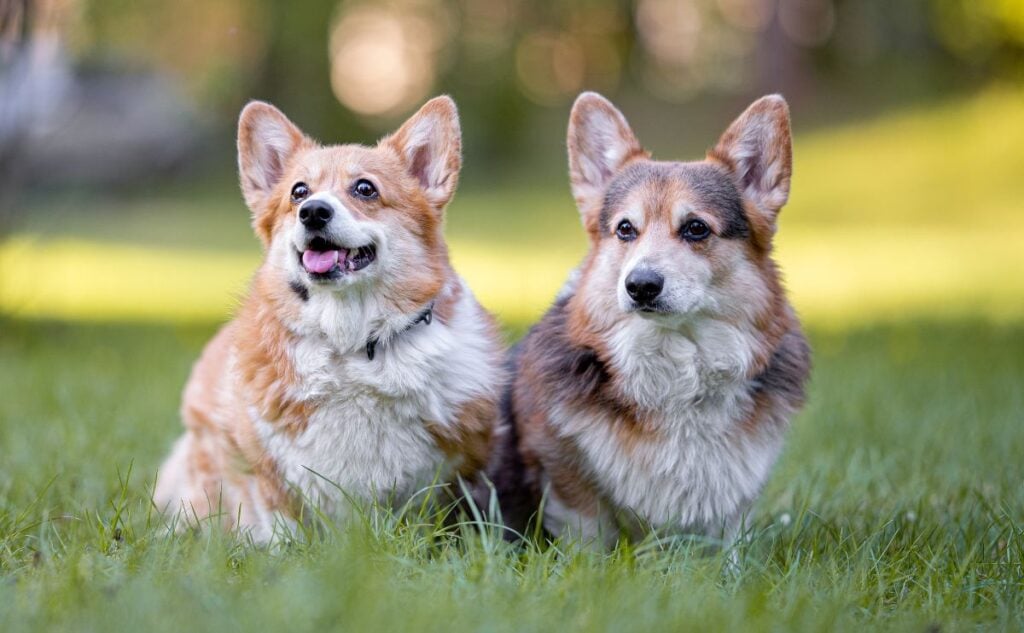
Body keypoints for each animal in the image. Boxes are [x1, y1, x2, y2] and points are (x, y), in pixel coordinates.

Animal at [153, 96, 505, 540]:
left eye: (365, 188)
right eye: (298, 191)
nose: (313, 212)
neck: (350, 344)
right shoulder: (263, 472)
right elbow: (280, 520)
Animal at [487, 91, 806, 544]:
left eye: (696, 228)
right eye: (625, 229)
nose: (640, 285)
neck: (675, 361)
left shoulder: (733, 499)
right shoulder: (566, 478)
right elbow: (589, 537)